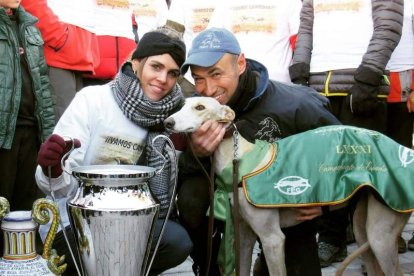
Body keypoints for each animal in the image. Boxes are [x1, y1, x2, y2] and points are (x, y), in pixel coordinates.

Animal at [165, 97, 414, 276]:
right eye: (183, 104)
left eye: (200, 107)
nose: (168, 122)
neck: (240, 159)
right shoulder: (244, 235)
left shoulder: (273, 239)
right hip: (365, 231)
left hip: (381, 236)